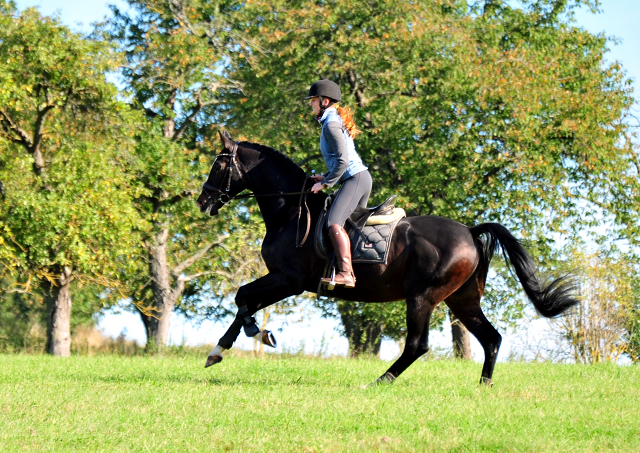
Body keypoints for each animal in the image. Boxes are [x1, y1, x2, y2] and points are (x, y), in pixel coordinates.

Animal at [198, 132, 576, 384]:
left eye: (218, 164)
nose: (202, 201)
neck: (291, 211)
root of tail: (470, 231)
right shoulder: (283, 280)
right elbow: (245, 299)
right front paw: (222, 348)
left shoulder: (288, 280)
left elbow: (243, 297)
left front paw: (255, 334)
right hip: (462, 299)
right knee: (491, 339)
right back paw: (484, 386)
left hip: (423, 297)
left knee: (418, 345)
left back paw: (380, 381)